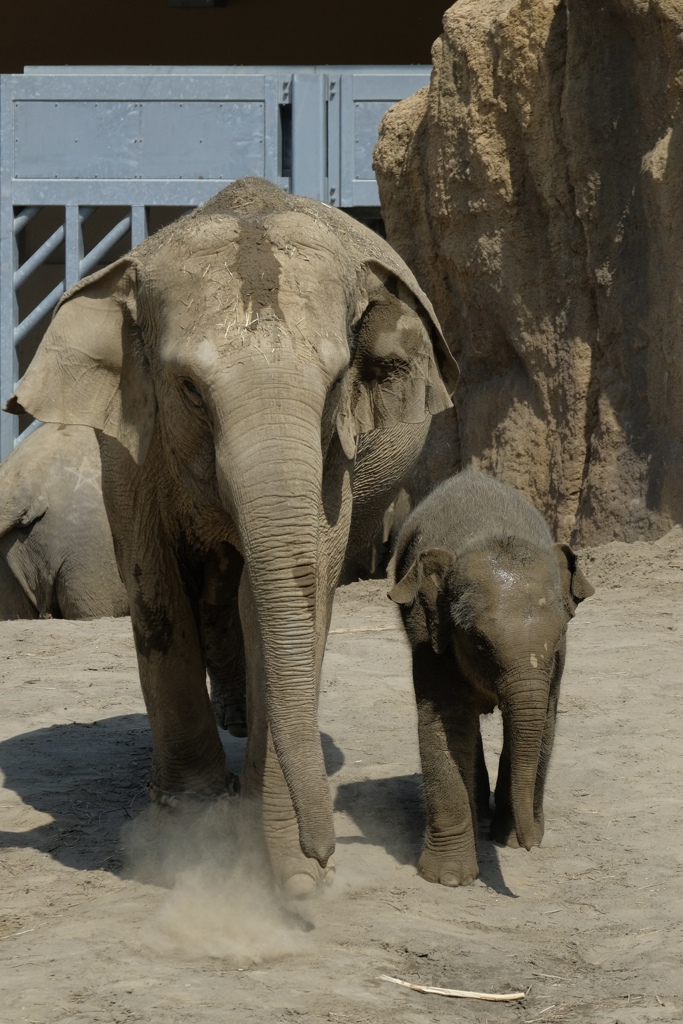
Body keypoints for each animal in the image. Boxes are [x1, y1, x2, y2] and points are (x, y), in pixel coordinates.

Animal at [5, 178, 456, 897]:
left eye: (338, 382)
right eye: (189, 388)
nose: (326, 855)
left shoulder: (333, 464)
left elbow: (286, 595)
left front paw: (276, 856)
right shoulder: (132, 447)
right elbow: (156, 587)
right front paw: (188, 832)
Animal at [389, 468, 593, 884]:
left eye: (559, 635)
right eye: (480, 644)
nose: (530, 845)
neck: (488, 533)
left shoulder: (557, 663)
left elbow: (543, 720)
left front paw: (510, 839)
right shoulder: (429, 637)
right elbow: (445, 723)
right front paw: (449, 878)